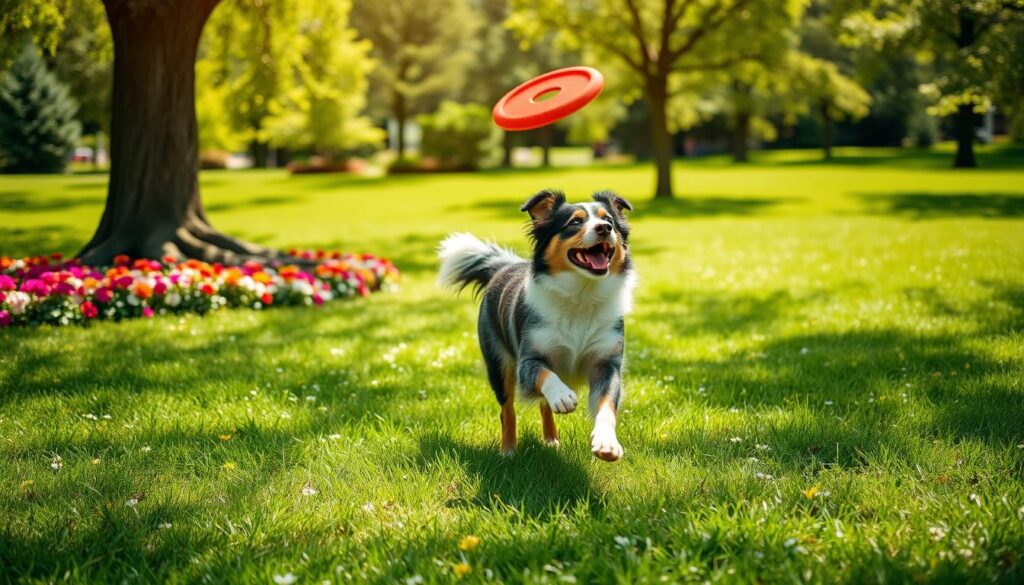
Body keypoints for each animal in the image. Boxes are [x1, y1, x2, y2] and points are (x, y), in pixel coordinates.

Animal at [438, 188, 634, 463]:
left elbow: (606, 405)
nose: (604, 228)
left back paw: (551, 440)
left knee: (543, 405)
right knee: (507, 409)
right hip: (498, 364)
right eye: (574, 222)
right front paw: (562, 395)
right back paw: (508, 450)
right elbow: (543, 374)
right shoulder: (528, 360)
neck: (581, 295)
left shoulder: (607, 364)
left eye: (610, 221)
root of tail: (506, 266)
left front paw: (607, 443)